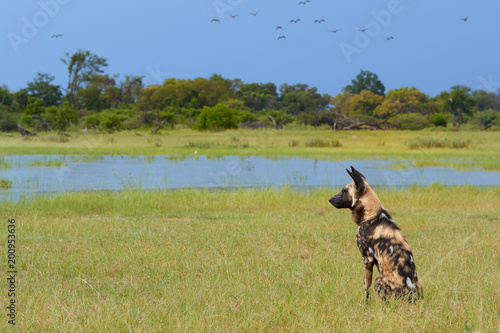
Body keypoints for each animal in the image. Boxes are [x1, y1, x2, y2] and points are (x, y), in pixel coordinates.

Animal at [330, 166, 424, 300]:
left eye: (344, 191)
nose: (330, 199)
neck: (372, 213)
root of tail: (412, 292)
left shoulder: (367, 259)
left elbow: (366, 288)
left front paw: (366, 303)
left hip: (379, 280)